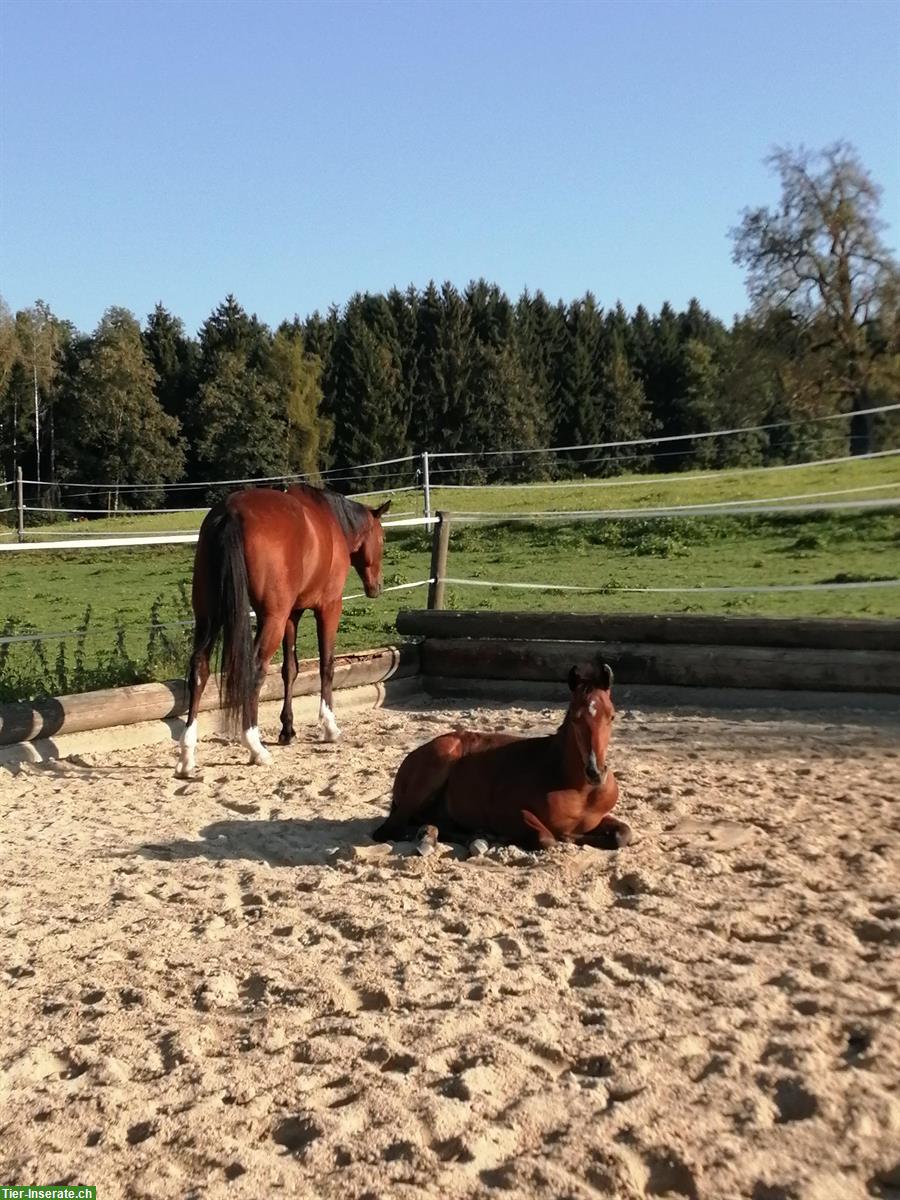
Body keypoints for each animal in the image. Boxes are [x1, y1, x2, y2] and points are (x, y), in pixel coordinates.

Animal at [176, 484, 391, 777]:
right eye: (382, 539)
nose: (376, 587)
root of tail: (231, 512)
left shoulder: (292, 615)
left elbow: (290, 670)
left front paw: (287, 730)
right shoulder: (328, 608)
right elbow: (326, 665)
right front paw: (329, 727)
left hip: (209, 617)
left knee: (199, 669)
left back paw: (187, 756)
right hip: (271, 620)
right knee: (254, 671)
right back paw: (255, 747)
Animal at [369, 662, 628, 849]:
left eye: (612, 716)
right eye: (575, 717)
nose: (595, 772)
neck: (579, 788)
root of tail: (411, 757)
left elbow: (624, 834)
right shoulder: (508, 812)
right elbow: (548, 838)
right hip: (440, 760)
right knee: (390, 829)